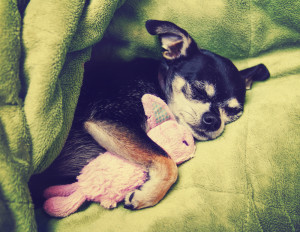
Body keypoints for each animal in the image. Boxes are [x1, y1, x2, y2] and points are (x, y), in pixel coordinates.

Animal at [29, 19, 270, 208]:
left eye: (233, 112)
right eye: (198, 89)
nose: (213, 120)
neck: (158, 82)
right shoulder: (108, 120)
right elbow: (167, 161)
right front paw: (146, 196)